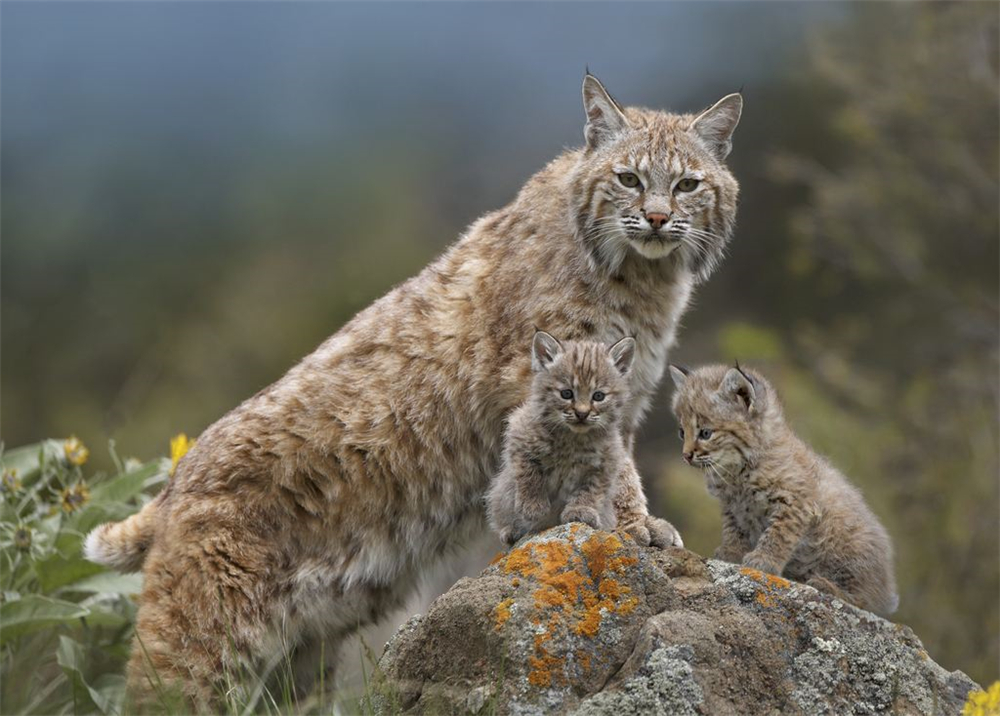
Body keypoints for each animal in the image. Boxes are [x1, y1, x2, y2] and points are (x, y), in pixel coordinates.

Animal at [488, 330, 636, 544]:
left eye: (598, 396)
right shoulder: (519, 435)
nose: (582, 414)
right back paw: (511, 531)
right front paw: (533, 507)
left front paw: (580, 510)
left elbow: (592, 489)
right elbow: (528, 474)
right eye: (566, 393)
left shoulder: (607, 461)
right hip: (500, 493)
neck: (573, 437)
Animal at [672, 364, 900, 616]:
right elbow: (734, 529)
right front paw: (731, 553)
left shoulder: (797, 502)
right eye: (682, 432)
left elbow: (778, 533)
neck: (737, 469)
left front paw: (764, 560)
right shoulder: (732, 506)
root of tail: (888, 588)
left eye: (705, 433)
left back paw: (827, 586)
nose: (686, 456)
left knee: (868, 602)